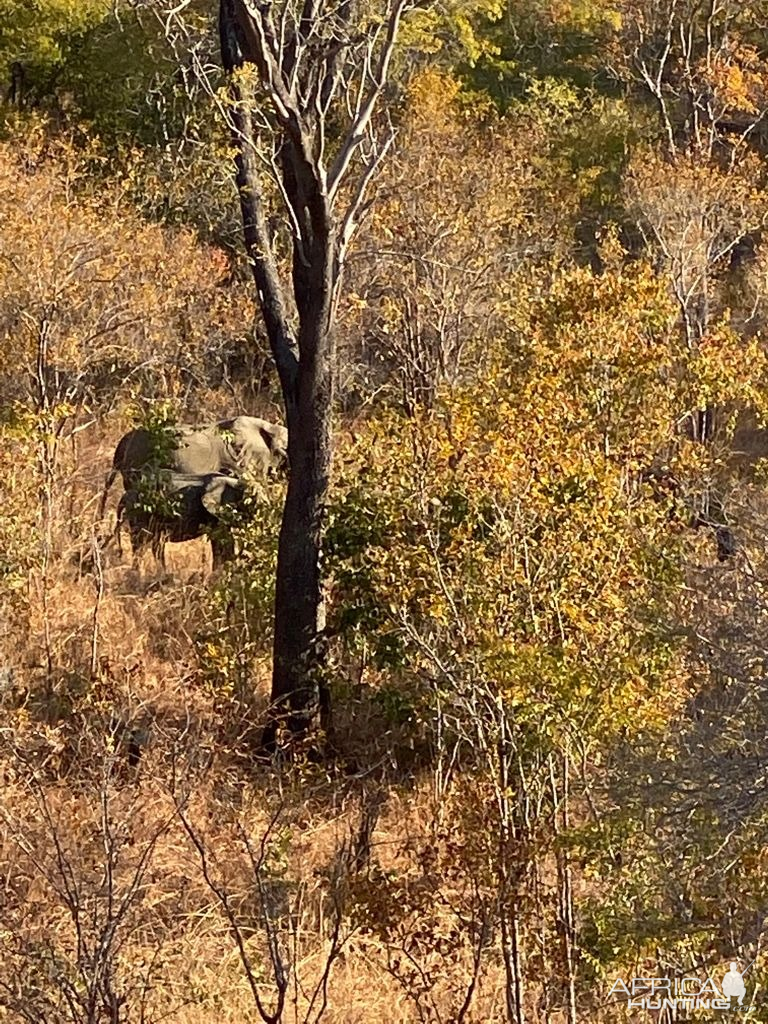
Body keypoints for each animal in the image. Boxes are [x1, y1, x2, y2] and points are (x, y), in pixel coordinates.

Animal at [115, 468, 247, 569]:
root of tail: (125, 495)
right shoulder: (214, 514)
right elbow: (222, 541)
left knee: (155, 545)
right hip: (140, 513)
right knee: (141, 545)